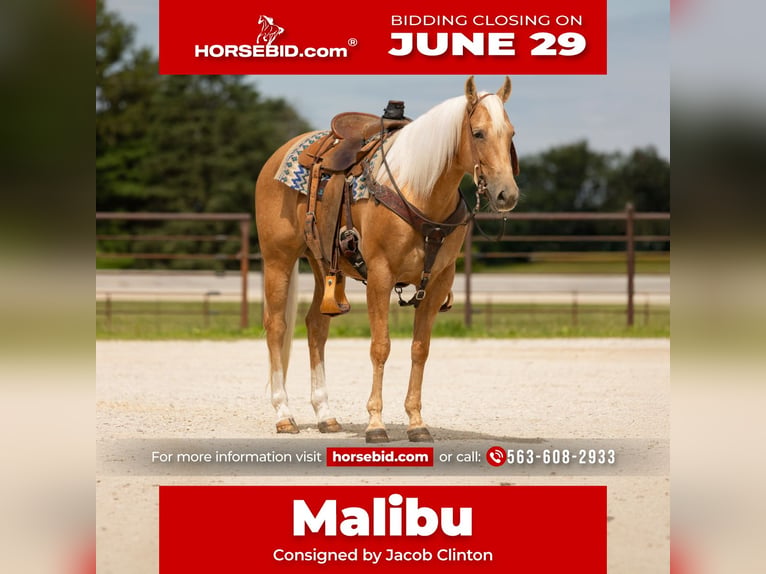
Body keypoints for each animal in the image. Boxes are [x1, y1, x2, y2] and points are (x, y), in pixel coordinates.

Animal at [254, 76, 519, 442]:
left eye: (511, 133)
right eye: (478, 133)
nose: (507, 194)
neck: (419, 190)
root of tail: (280, 154)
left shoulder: (439, 282)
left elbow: (420, 348)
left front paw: (417, 424)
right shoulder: (380, 276)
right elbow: (380, 347)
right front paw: (376, 425)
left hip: (322, 264)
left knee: (316, 326)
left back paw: (326, 415)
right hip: (278, 259)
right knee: (276, 326)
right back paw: (284, 415)